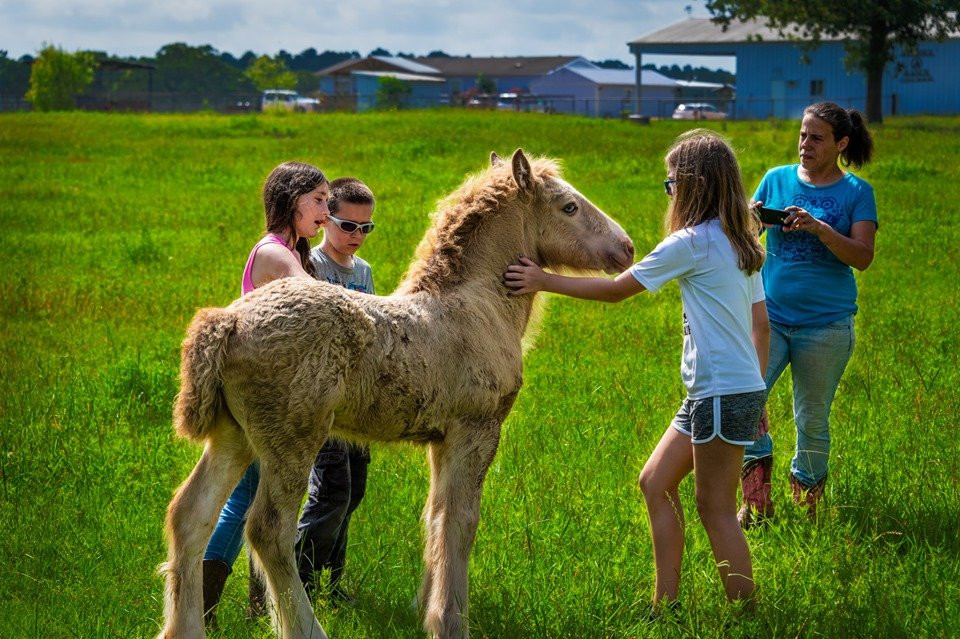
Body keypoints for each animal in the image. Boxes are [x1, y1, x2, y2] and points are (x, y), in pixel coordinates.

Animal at [156, 149, 634, 639]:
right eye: (569, 207)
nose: (628, 247)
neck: (476, 306)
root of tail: (228, 321)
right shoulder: (477, 431)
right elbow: (461, 522)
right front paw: (450, 621)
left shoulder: (441, 441)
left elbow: (434, 516)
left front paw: (423, 608)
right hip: (291, 439)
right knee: (268, 530)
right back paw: (308, 629)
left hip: (235, 436)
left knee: (190, 515)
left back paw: (184, 628)